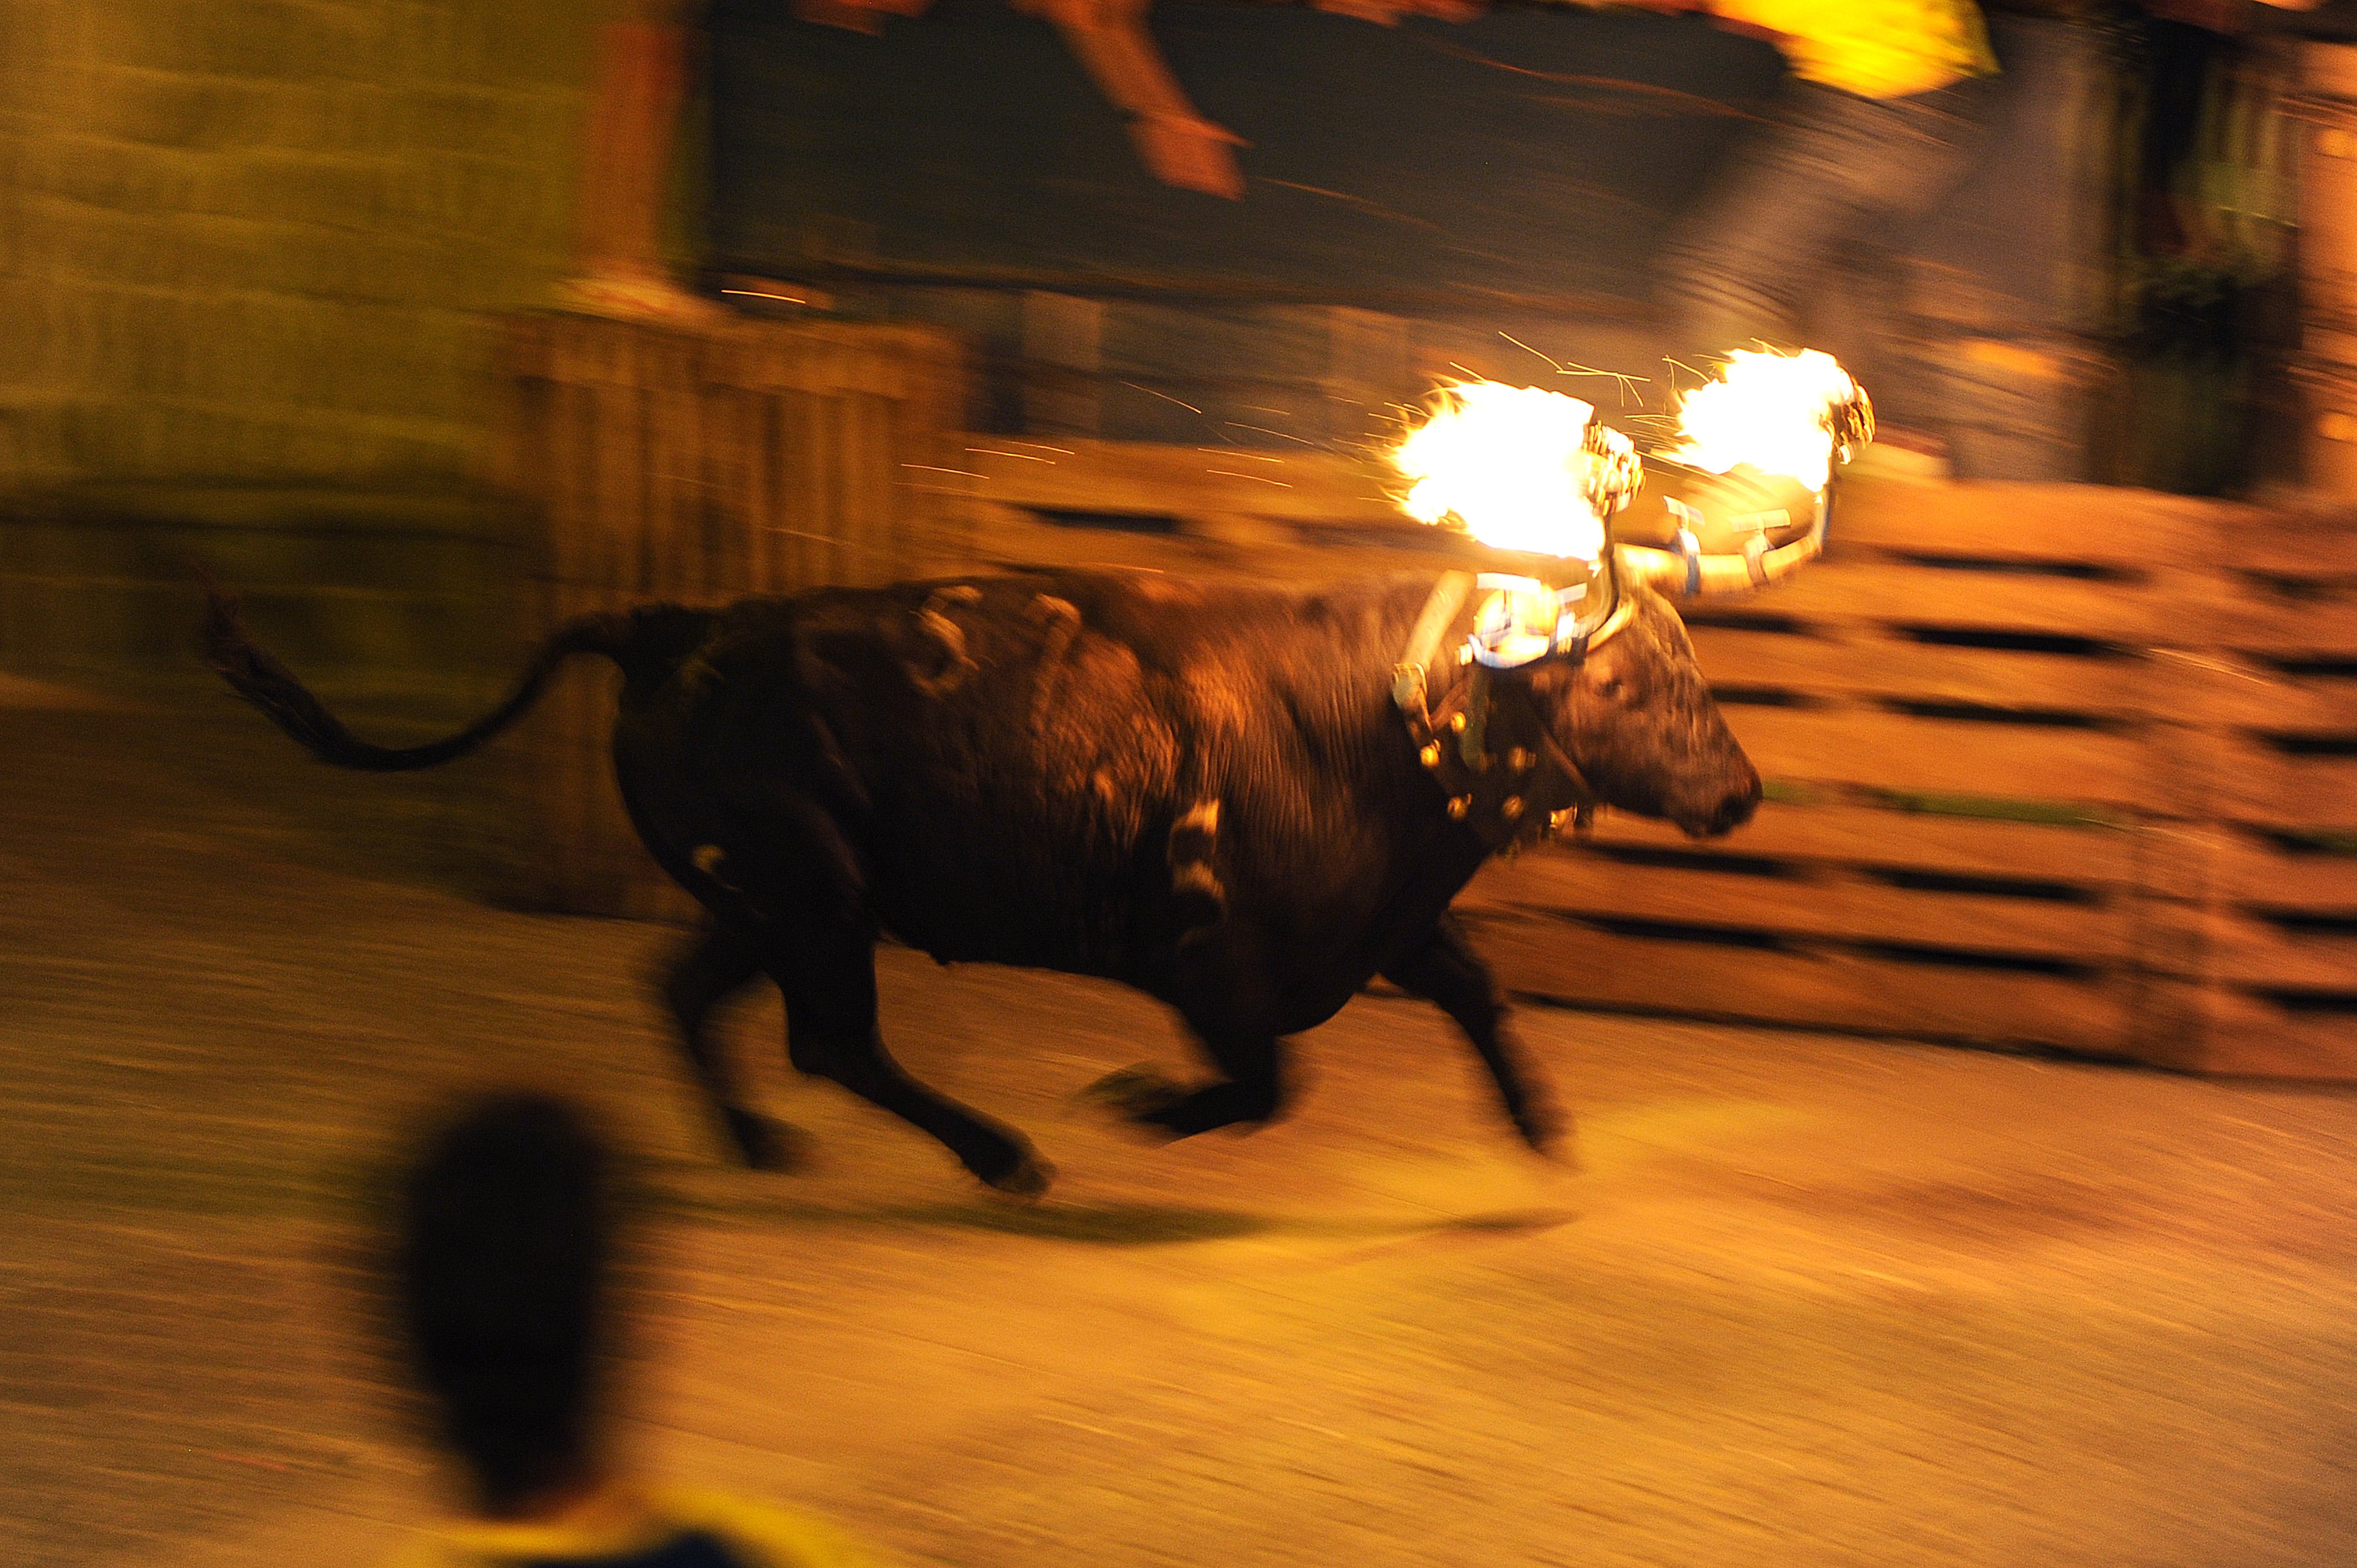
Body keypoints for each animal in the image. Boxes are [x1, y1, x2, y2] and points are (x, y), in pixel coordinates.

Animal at [207, 518, 1819, 1193]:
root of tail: (677, 627)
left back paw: (756, 1143)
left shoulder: (1385, 929)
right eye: (1638, 685)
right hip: (813, 894)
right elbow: (1265, 1084)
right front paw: (1138, 1106)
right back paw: (1002, 1153)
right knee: (832, 1040)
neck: (1377, 718)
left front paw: (1544, 1128)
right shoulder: (1210, 961)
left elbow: (1477, 993)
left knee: (691, 994)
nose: (1743, 792)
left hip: (773, 895)